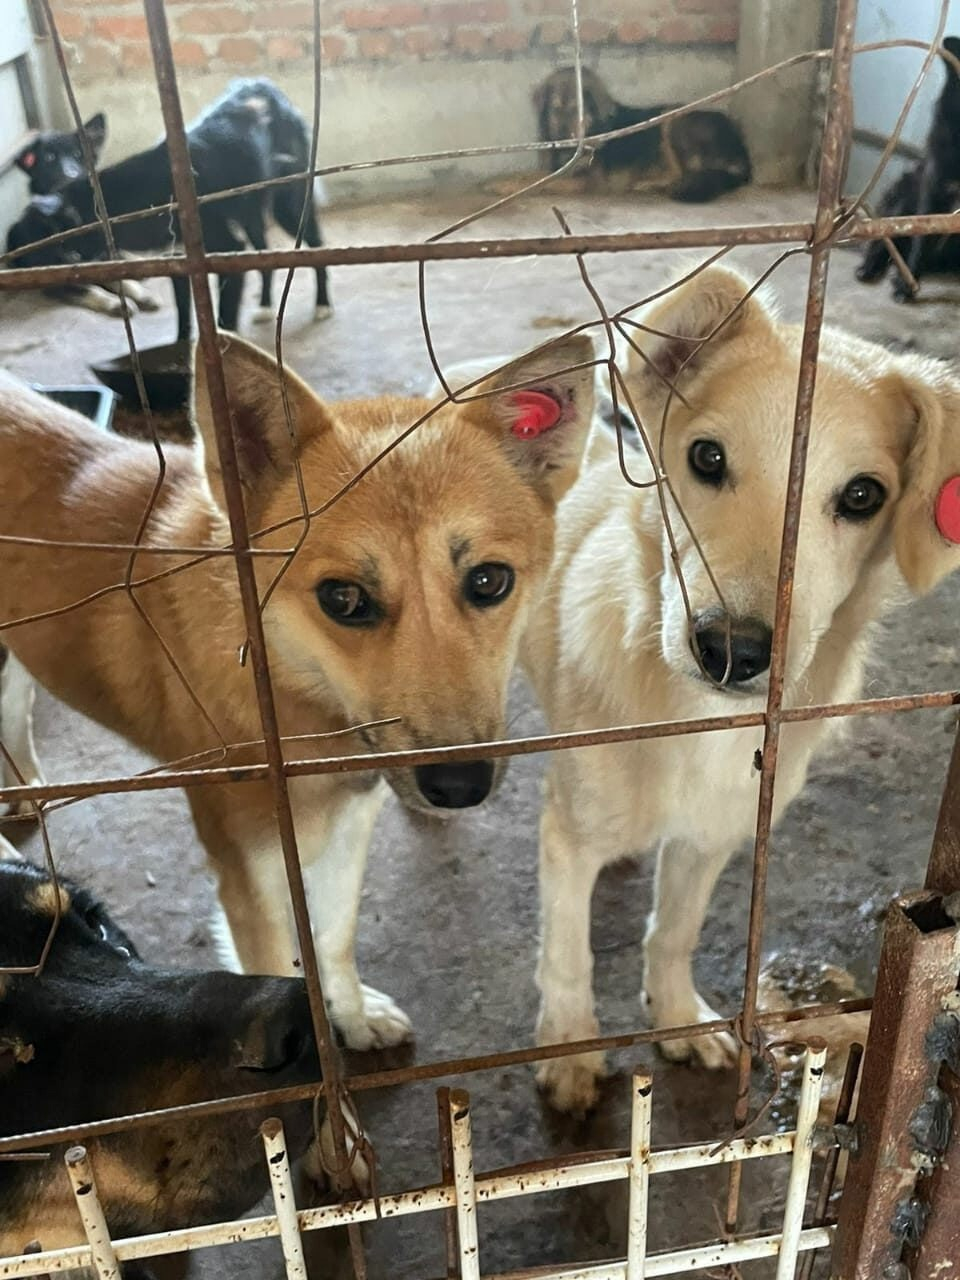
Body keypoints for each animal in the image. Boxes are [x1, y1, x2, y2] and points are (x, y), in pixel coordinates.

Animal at [535, 65, 752, 202]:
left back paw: (648, 184)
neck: (594, 128)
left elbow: (537, 180)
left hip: (669, 119)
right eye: (555, 109)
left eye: (576, 111)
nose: (561, 137)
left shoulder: (588, 181)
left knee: (682, 172)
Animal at [855, 35, 960, 299]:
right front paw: (906, 286)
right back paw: (872, 268)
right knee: (884, 244)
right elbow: (920, 239)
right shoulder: (932, 188)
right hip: (904, 193)